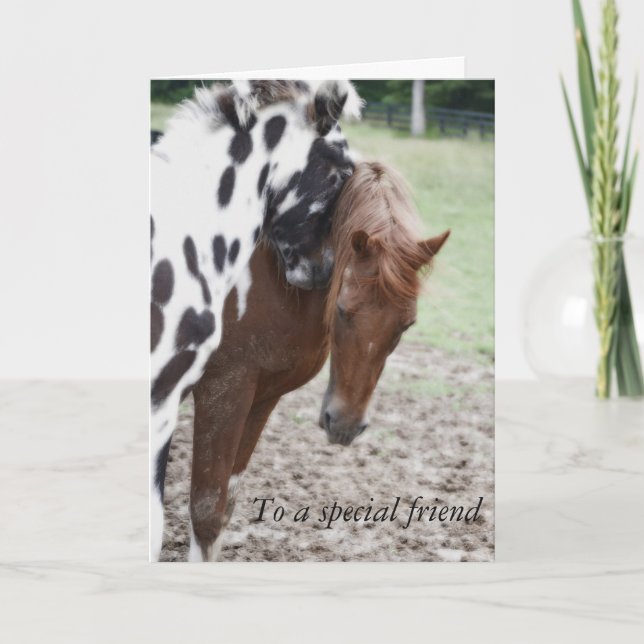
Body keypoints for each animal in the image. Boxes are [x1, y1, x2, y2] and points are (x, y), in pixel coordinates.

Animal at [179, 161, 450, 561]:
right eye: (342, 310)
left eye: (407, 324)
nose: (345, 425)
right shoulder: (221, 393)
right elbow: (207, 511)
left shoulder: (261, 397)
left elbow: (226, 506)